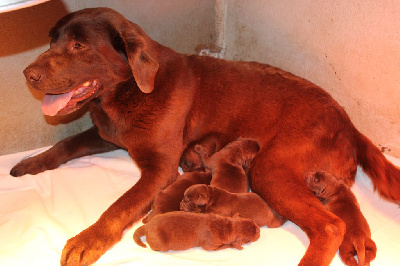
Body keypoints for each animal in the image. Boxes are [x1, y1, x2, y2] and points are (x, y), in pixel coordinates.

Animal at [10, 7, 400, 264]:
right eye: (51, 41)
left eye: (78, 46)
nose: (28, 73)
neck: (127, 93)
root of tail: (348, 122)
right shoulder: (107, 135)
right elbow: (64, 143)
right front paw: (30, 163)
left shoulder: (160, 169)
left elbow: (119, 205)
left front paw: (87, 239)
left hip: (270, 168)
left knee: (330, 226)